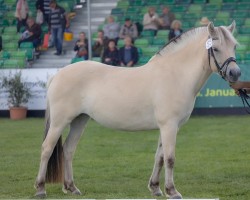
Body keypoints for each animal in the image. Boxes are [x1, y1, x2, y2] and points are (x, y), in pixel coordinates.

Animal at [34, 22, 240, 198]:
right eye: (215, 48)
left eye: (235, 46)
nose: (235, 73)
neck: (175, 75)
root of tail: (58, 74)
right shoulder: (169, 126)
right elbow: (170, 158)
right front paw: (172, 191)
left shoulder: (166, 127)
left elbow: (159, 157)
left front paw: (156, 188)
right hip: (60, 122)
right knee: (46, 148)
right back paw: (40, 188)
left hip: (80, 120)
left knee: (68, 150)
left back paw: (71, 187)